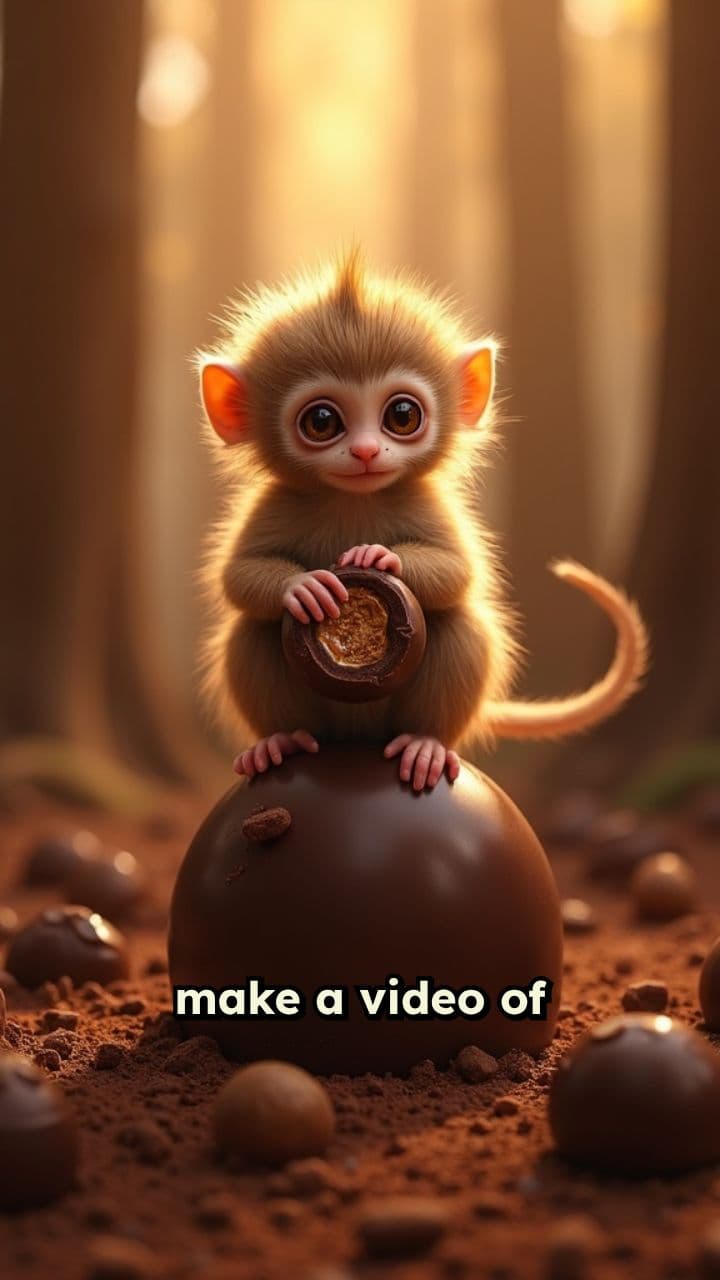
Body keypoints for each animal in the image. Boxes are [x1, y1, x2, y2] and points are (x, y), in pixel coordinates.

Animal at [197, 251, 647, 792]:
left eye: (402, 415)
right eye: (322, 422)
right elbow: (237, 576)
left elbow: (458, 570)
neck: (356, 501)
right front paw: (304, 587)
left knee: (459, 624)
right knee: (251, 631)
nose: (366, 451)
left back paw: (425, 744)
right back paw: (278, 742)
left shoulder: (430, 502)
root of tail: (358, 734)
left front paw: (380, 557)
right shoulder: (275, 502)